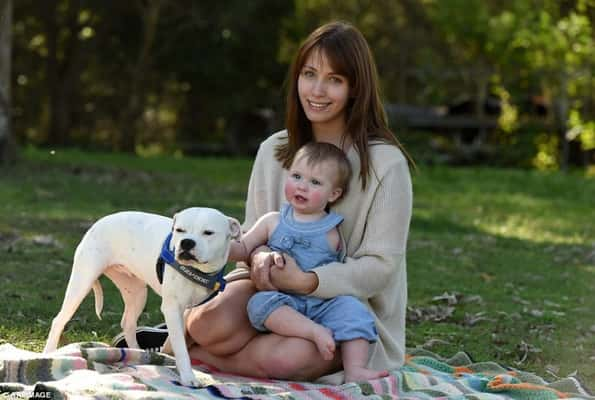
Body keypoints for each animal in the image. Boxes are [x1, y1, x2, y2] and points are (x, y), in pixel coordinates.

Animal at [43, 208, 242, 386]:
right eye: (180, 230)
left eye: (208, 233)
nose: (186, 243)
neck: (199, 271)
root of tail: (97, 223)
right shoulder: (172, 309)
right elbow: (180, 347)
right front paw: (188, 377)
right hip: (82, 282)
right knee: (59, 320)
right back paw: (48, 354)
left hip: (136, 292)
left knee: (128, 323)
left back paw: (137, 355)